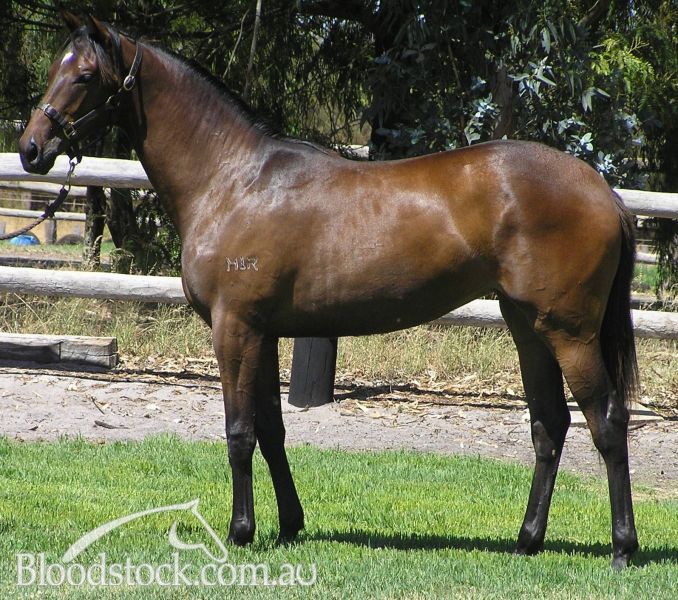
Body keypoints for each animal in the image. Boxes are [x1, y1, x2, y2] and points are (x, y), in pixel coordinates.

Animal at [19, 12, 639, 569]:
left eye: (83, 75)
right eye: (54, 67)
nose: (30, 149)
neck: (233, 180)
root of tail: (602, 191)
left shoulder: (234, 328)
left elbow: (239, 431)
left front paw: (241, 532)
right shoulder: (265, 334)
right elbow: (271, 429)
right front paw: (289, 525)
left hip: (569, 332)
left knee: (607, 422)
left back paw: (621, 549)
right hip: (528, 327)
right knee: (549, 426)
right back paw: (527, 541)